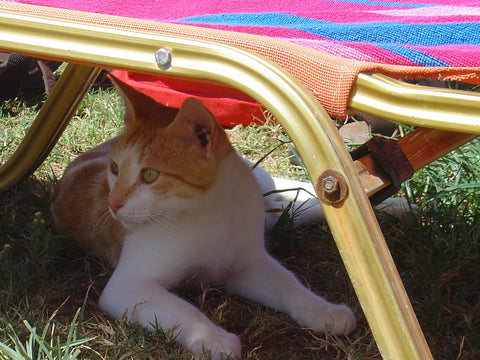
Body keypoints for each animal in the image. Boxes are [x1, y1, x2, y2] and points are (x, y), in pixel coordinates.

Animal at [51, 75, 360, 358]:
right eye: (114, 169)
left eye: (150, 175)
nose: (112, 205)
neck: (211, 213)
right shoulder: (128, 286)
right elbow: (178, 309)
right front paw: (213, 338)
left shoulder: (248, 263)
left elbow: (288, 284)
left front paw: (325, 311)